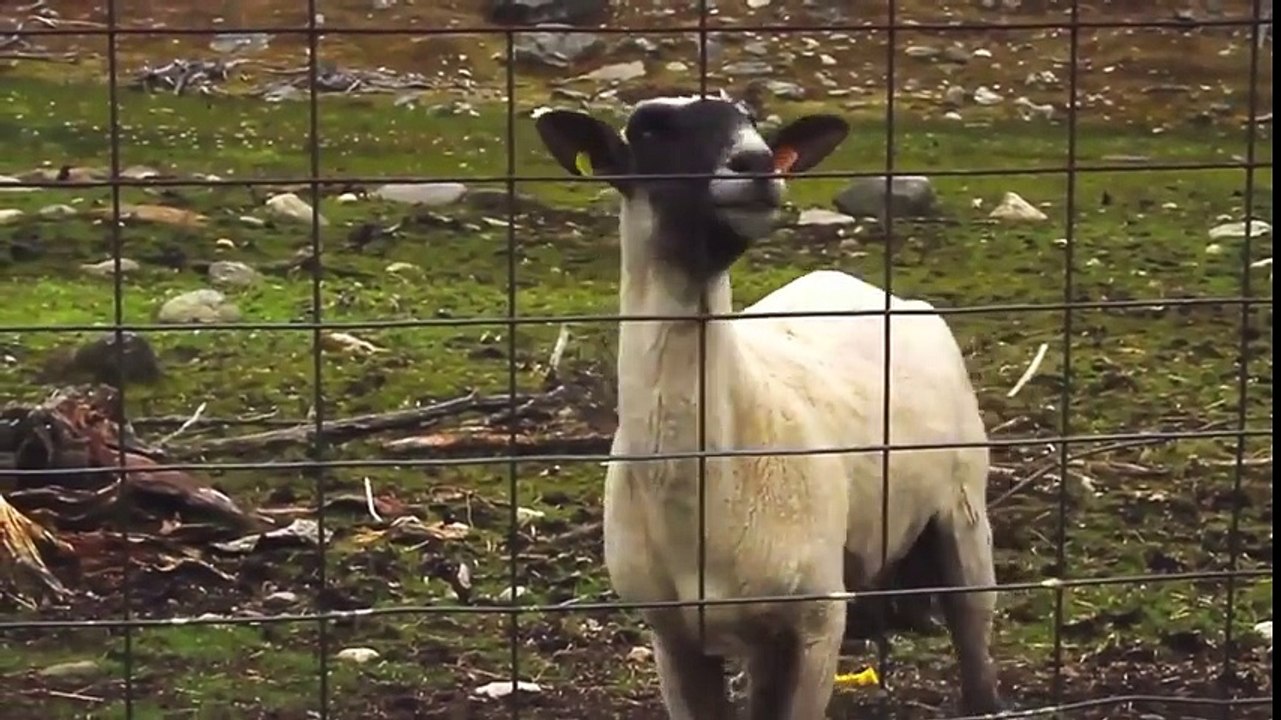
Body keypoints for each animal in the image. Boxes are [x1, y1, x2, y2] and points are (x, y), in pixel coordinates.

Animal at [534, 92, 1004, 720]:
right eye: (650, 129)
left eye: (752, 122)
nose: (757, 164)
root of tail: (859, 285)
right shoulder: (672, 634)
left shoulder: (818, 620)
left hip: (962, 510)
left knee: (974, 637)